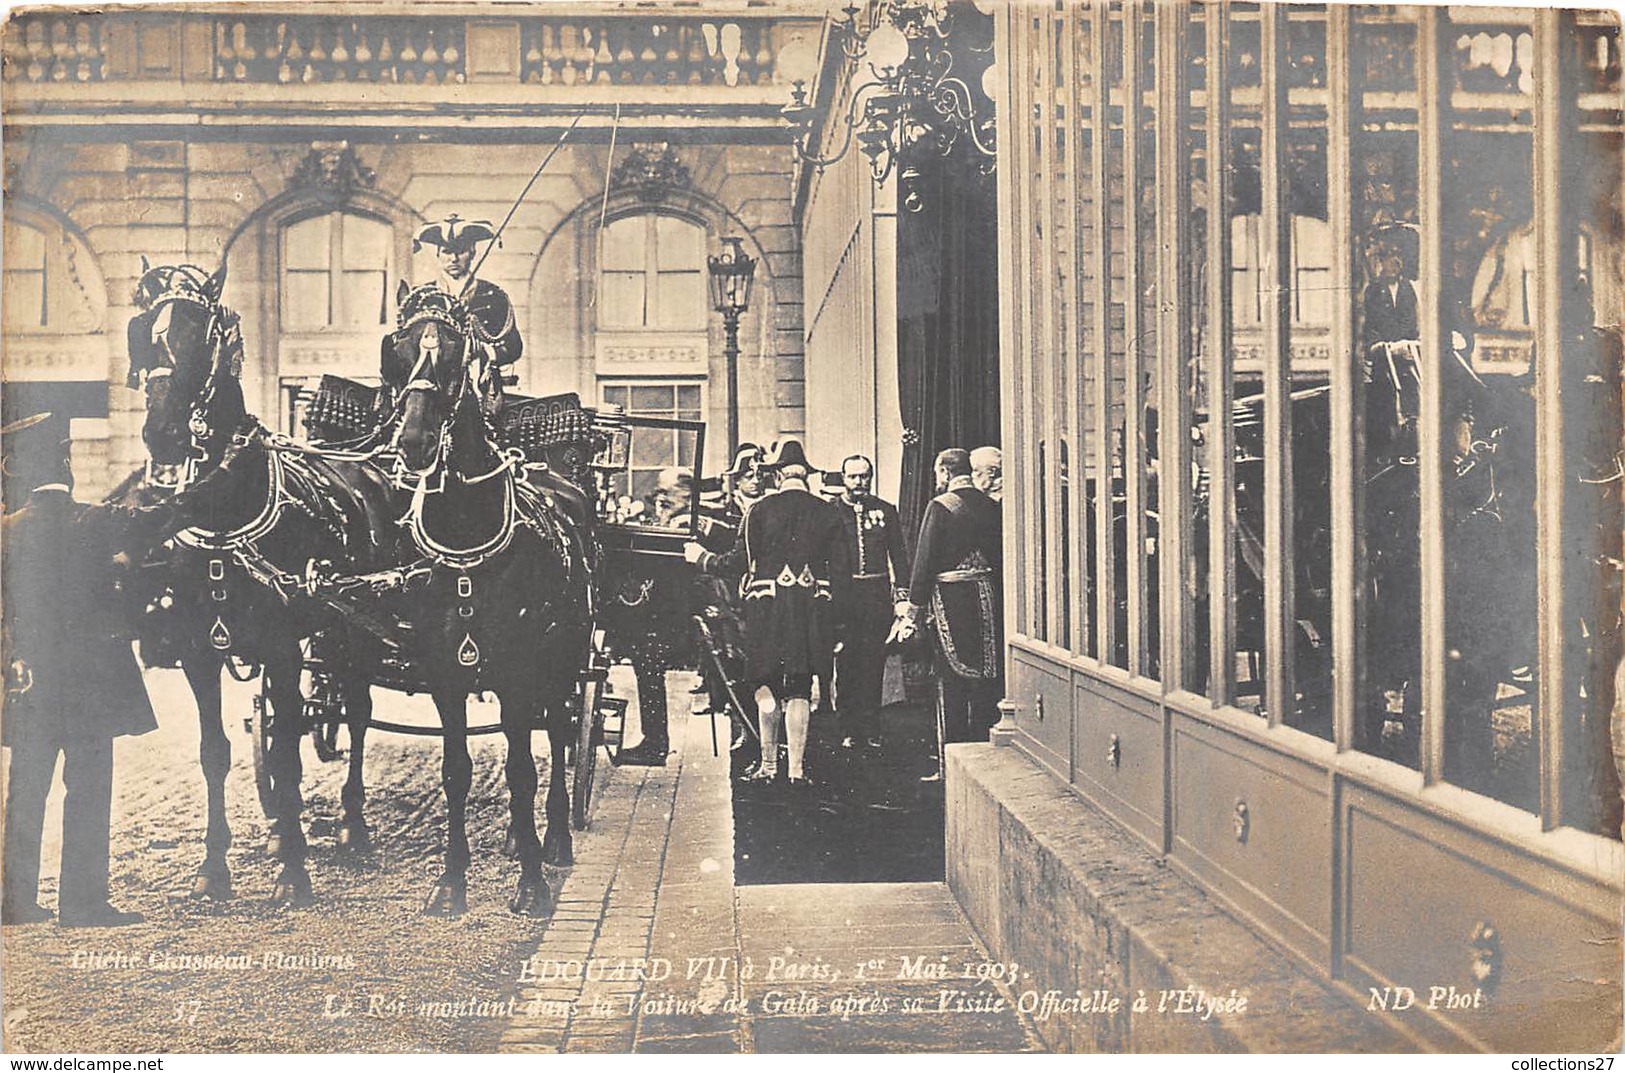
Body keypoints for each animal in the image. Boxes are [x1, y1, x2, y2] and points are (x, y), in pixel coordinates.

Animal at [123, 261, 396, 903]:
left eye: (202, 335)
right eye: (144, 332)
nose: (162, 433)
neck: (228, 512)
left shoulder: (281, 646)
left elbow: (293, 753)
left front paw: (294, 873)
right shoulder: (197, 650)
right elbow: (217, 752)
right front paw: (214, 867)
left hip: (354, 633)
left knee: (358, 711)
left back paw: (352, 823)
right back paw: (279, 830)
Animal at [372, 282, 591, 916]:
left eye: (453, 355)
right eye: (395, 353)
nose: (414, 443)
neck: (467, 531)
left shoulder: (519, 667)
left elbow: (521, 771)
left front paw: (532, 884)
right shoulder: (443, 669)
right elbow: (456, 771)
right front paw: (452, 881)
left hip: (564, 660)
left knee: (560, 736)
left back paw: (554, 838)